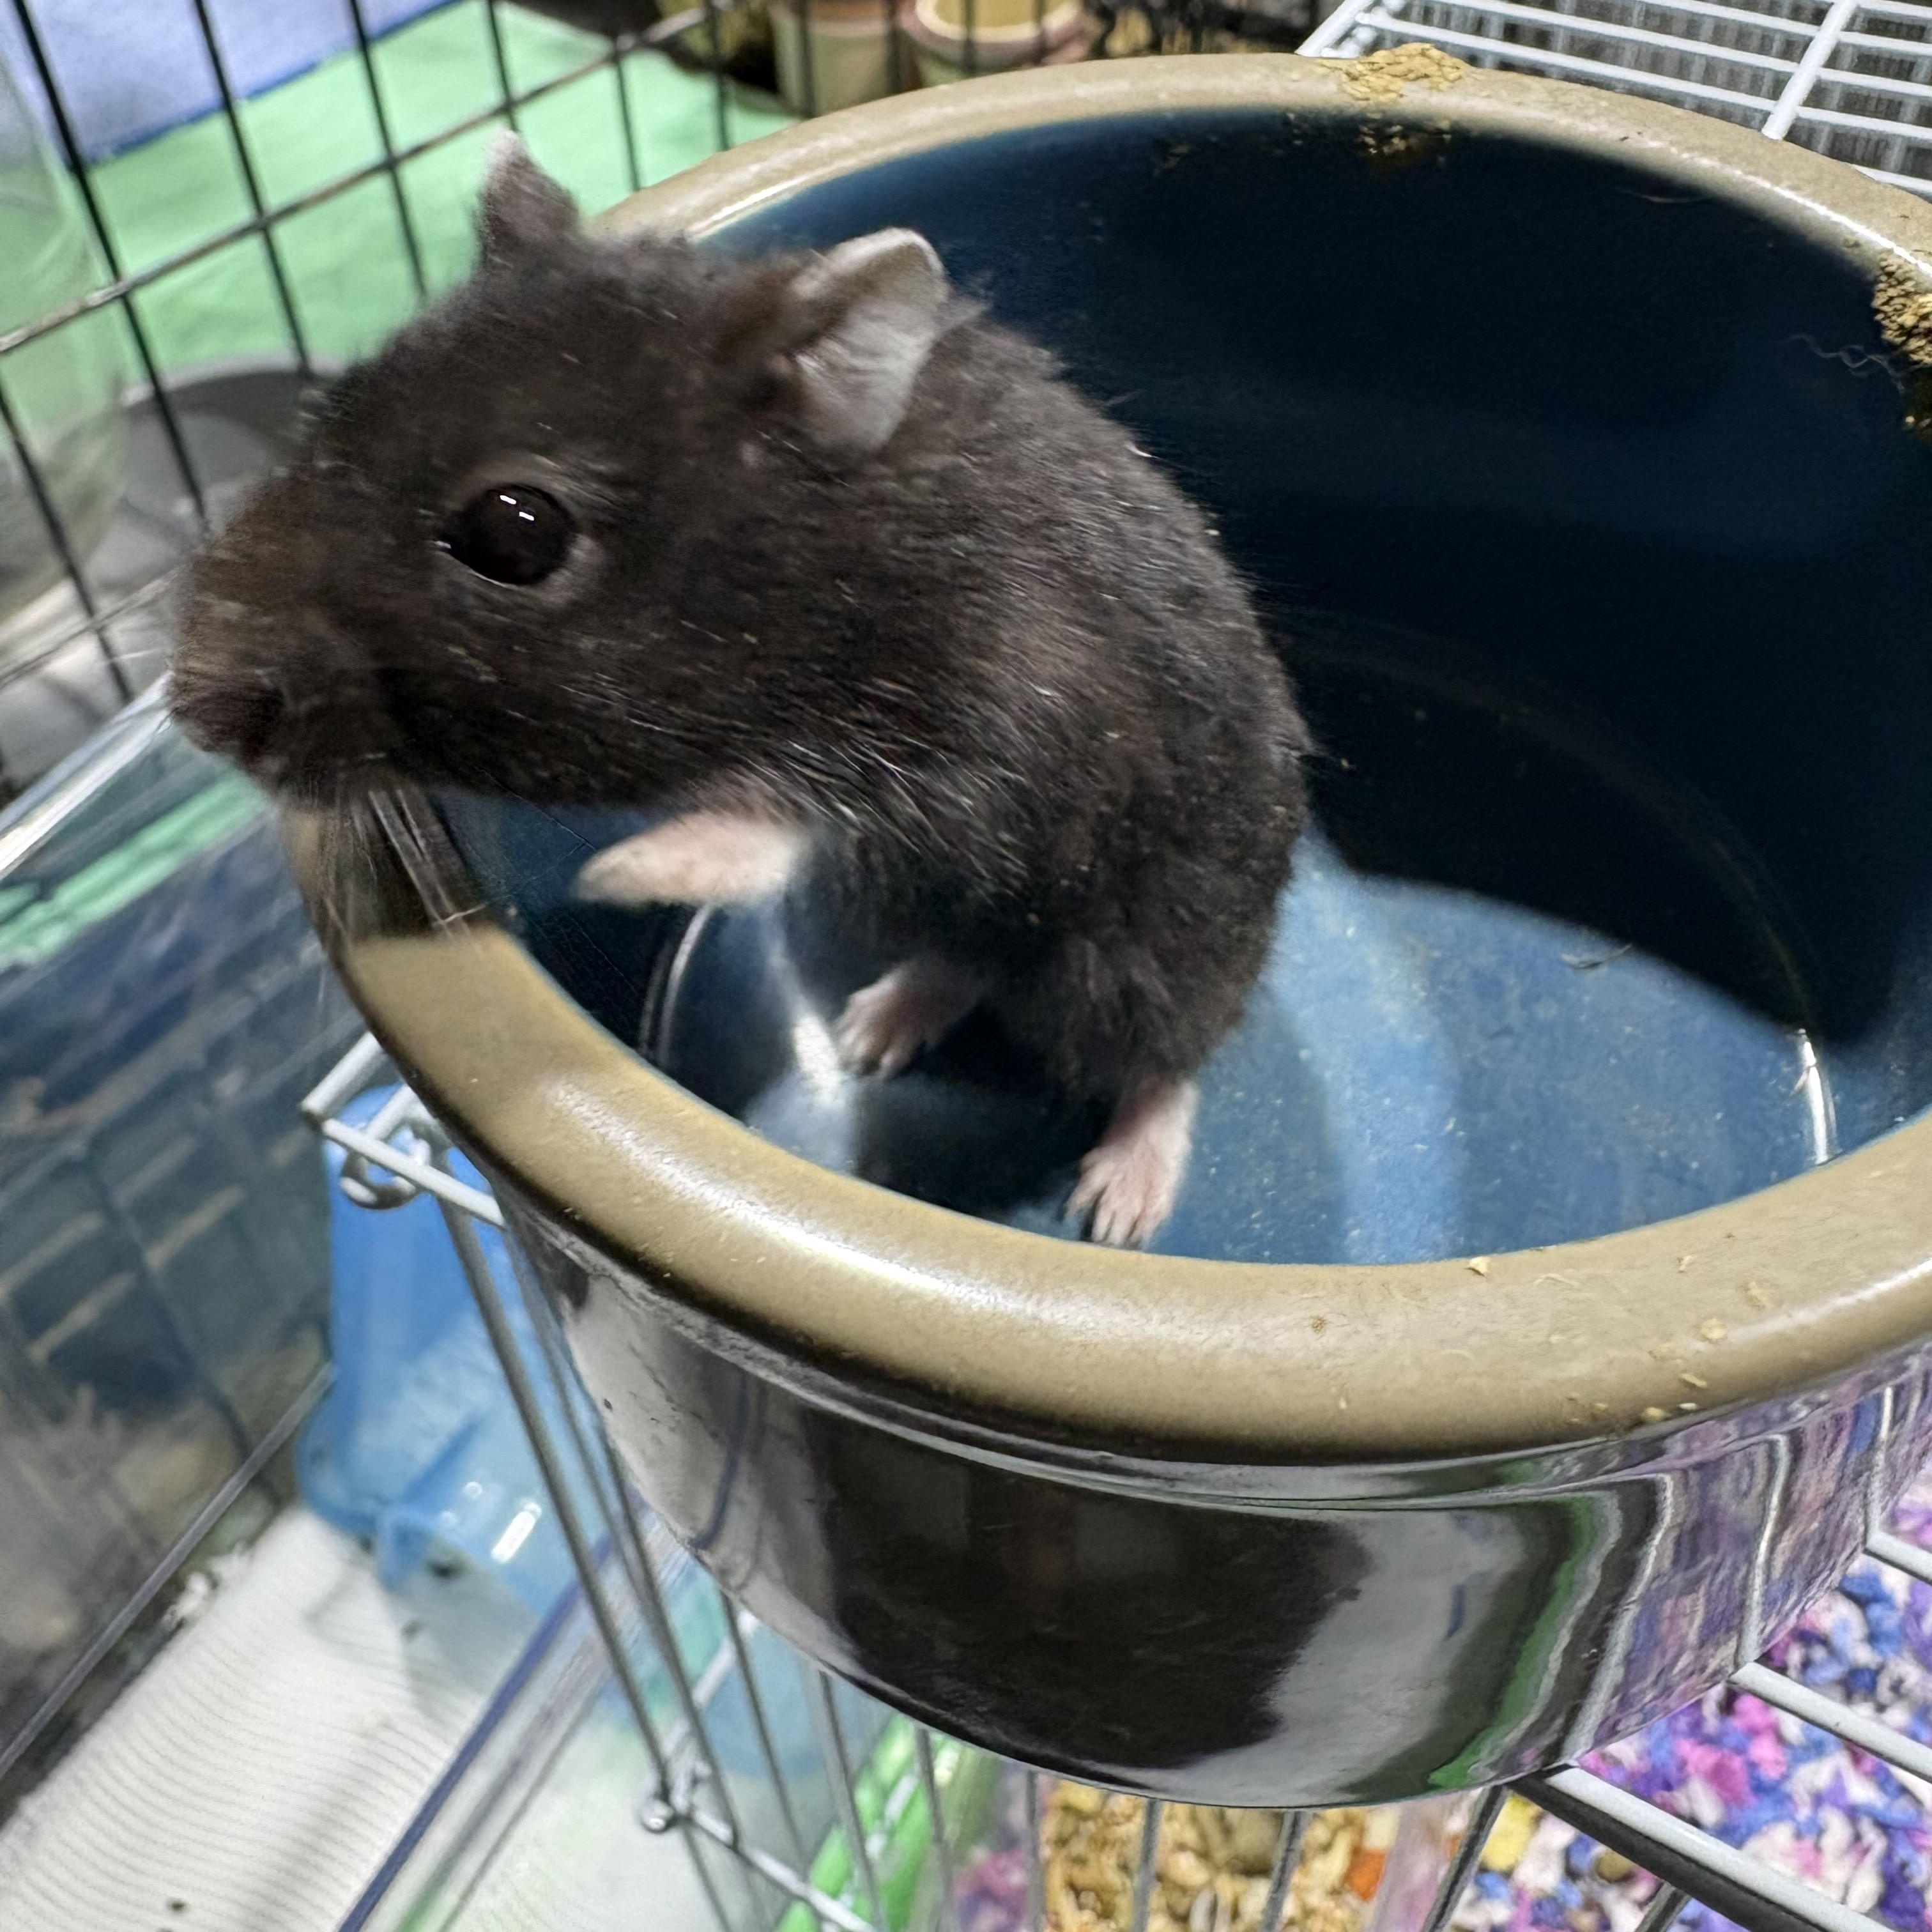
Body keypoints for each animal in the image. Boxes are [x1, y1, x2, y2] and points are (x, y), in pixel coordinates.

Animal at [170, 137, 1312, 1247]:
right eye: (328, 411)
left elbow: (807, 816)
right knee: (966, 960)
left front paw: (624, 873)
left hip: (1151, 950)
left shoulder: (1008, 736)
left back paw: (1121, 1199)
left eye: (515, 532)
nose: (193, 710)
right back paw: (874, 1027)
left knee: (1163, 1056)